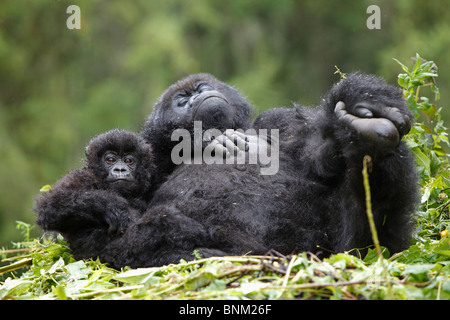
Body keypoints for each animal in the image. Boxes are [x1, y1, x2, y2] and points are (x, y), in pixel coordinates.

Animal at [34, 129, 156, 262]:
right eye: (110, 160)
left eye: (128, 161)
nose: (120, 169)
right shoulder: (82, 176)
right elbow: (50, 206)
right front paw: (114, 208)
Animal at [93, 72, 420, 268]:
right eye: (181, 100)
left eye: (200, 88)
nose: (198, 96)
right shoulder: (148, 154)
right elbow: (116, 234)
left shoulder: (276, 119)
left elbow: (318, 156)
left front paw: (361, 97)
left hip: (346, 252)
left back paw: (368, 135)